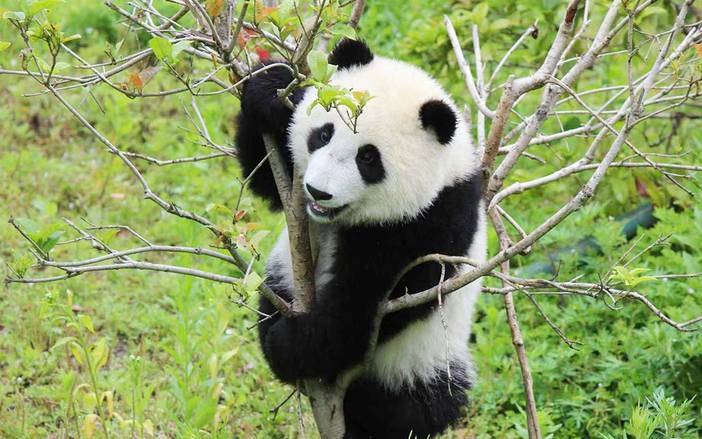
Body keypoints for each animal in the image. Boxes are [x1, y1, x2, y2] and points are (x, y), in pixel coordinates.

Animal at [235, 39, 486, 438]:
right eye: (323, 133)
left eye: (368, 158)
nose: (318, 192)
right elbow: (269, 178)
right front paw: (271, 87)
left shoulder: (432, 222)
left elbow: (366, 306)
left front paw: (290, 346)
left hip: (423, 363)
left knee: (406, 410)